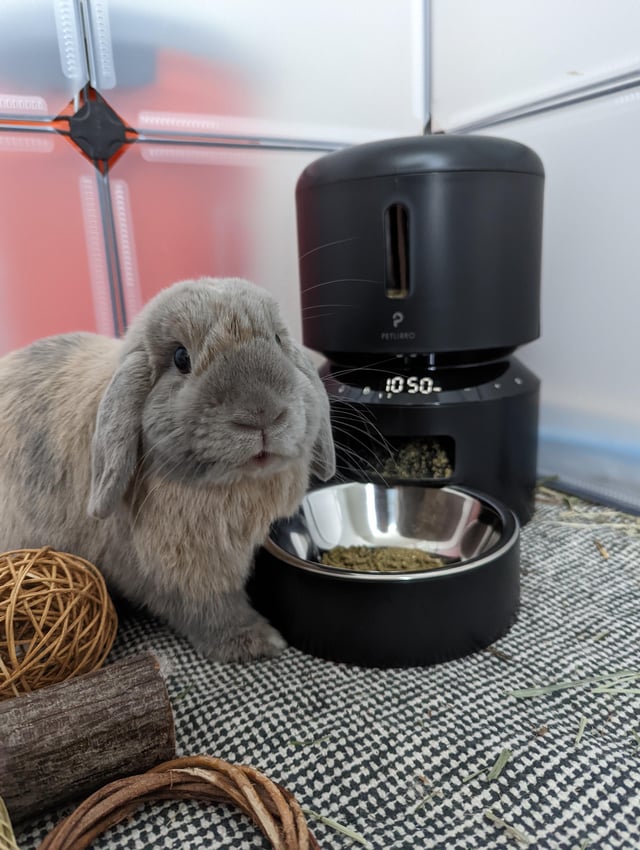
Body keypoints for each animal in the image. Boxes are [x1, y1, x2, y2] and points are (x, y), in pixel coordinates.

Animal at [0, 277, 335, 662]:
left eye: (279, 340)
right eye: (180, 358)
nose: (262, 414)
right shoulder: (183, 574)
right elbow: (211, 608)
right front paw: (256, 642)